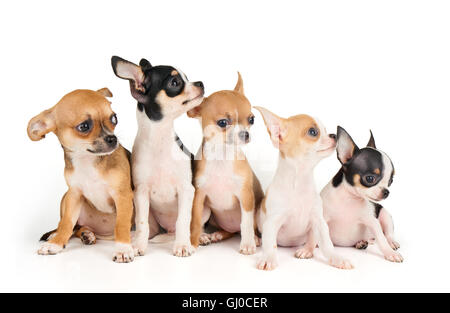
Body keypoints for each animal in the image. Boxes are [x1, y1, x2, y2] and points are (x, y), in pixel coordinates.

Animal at [26, 87, 134, 260]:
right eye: (84, 126)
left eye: (114, 119)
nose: (112, 138)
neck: (87, 161)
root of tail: (104, 235)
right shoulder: (74, 194)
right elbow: (66, 223)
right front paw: (56, 244)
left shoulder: (122, 195)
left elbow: (121, 224)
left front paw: (123, 249)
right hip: (66, 197)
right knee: (72, 227)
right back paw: (76, 234)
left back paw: (87, 234)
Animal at [111, 55, 205, 256]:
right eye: (175, 82)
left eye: (187, 77)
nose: (200, 83)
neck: (159, 140)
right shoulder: (141, 192)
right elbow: (141, 223)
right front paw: (138, 246)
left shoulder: (186, 190)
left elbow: (183, 220)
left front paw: (182, 245)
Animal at [187, 74, 264, 255]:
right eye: (223, 123)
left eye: (252, 119)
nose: (245, 134)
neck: (221, 158)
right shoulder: (199, 197)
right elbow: (195, 222)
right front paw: (192, 244)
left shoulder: (246, 197)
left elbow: (246, 223)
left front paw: (248, 244)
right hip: (207, 210)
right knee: (223, 230)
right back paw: (210, 236)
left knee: (246, 227)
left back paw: (255, 239)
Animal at [255, 106, 354, 270]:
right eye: (313, 132)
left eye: (325, 129)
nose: (333, 134)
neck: (300, 183)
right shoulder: (271, 223)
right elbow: (270, 244)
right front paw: (268, 257)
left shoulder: (319, 222)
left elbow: (327, 244)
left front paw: (337, 258)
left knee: (312, 240)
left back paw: (307, 249)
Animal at [320, 126, 404, 260]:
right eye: (370, 179)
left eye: (390, 181)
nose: (386, 192)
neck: (349, 199)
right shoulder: (323, 219)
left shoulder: (373, 222)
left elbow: (381, 239)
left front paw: (390, 253)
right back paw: (360, 243)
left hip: (385, 215)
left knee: (388, 234)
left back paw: (390, 242)